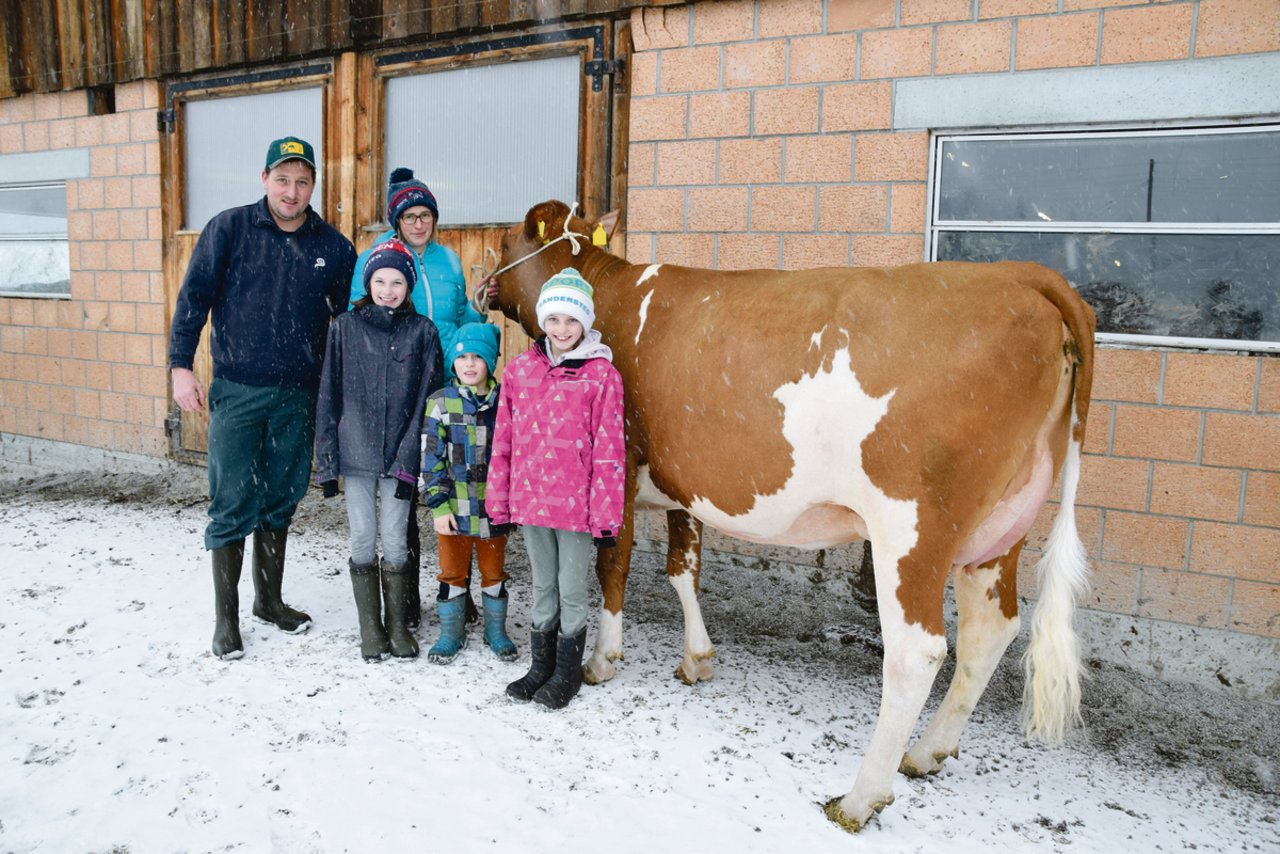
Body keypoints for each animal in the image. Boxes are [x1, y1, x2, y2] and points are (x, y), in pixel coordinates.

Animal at [494, 202, 1095, 834]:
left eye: (506, 241)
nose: (485, 283)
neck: (607, 293)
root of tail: (1018, 276)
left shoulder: (623, 461)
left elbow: (614, 566)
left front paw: (601, 661)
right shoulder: (687, 486)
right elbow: (684, 570)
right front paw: (696, 659)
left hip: (912, 526)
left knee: (919, 651)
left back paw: (859, 798)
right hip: (1002, 526)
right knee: (990, 633)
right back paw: (926, 753)